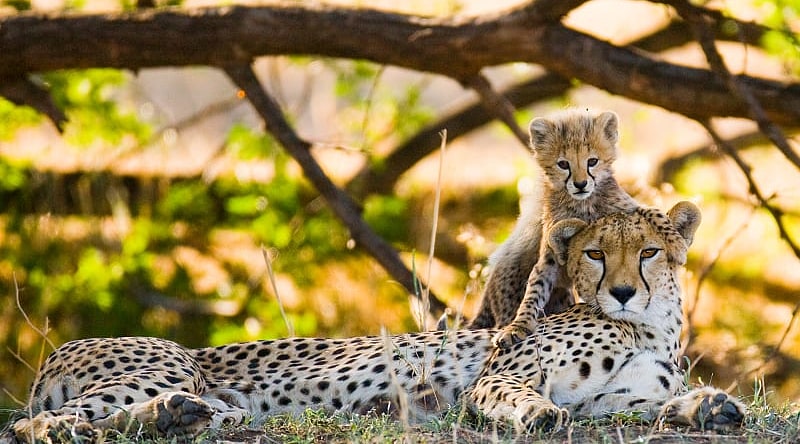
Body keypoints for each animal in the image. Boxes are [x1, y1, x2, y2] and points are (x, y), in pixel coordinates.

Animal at [5, 202, 745, 443]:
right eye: (595, 253)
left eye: (648, 252)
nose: (620, 293)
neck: (648, 328)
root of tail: (58, 351)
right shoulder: (503, 374)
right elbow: (516, 395)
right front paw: (535, 414)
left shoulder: (611, 401)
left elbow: (656, 406)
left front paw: (710, 407)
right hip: (167, 363)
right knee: (36, 426)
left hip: (212, 398)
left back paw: (177, 418)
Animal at [468, 109, 642, 349]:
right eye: (563, 164)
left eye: (592, 161)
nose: (580, 184)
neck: (582, 206)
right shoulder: (549, 259)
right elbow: (534, 291)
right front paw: (518, 327)